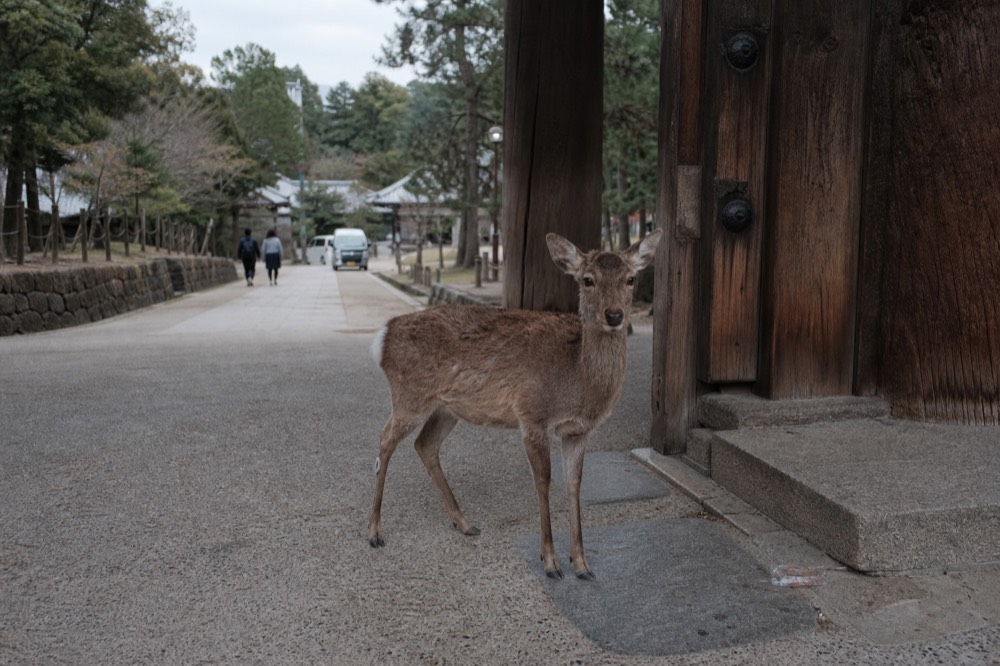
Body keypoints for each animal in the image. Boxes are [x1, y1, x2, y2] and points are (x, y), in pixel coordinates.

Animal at [367, 229, 662, 580]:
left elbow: (575, 484)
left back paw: (464, 523)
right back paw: (374, 531)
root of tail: (382, 337)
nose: (615, 316)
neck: (577, 382)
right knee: (385, 439)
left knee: (424, 444)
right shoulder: (531, 414)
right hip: (408, 395)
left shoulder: (578, 431)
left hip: (446, 408)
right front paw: (550, 562)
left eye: (631, 279)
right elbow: (544, 481)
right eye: (588, 280)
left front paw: (582, 564)